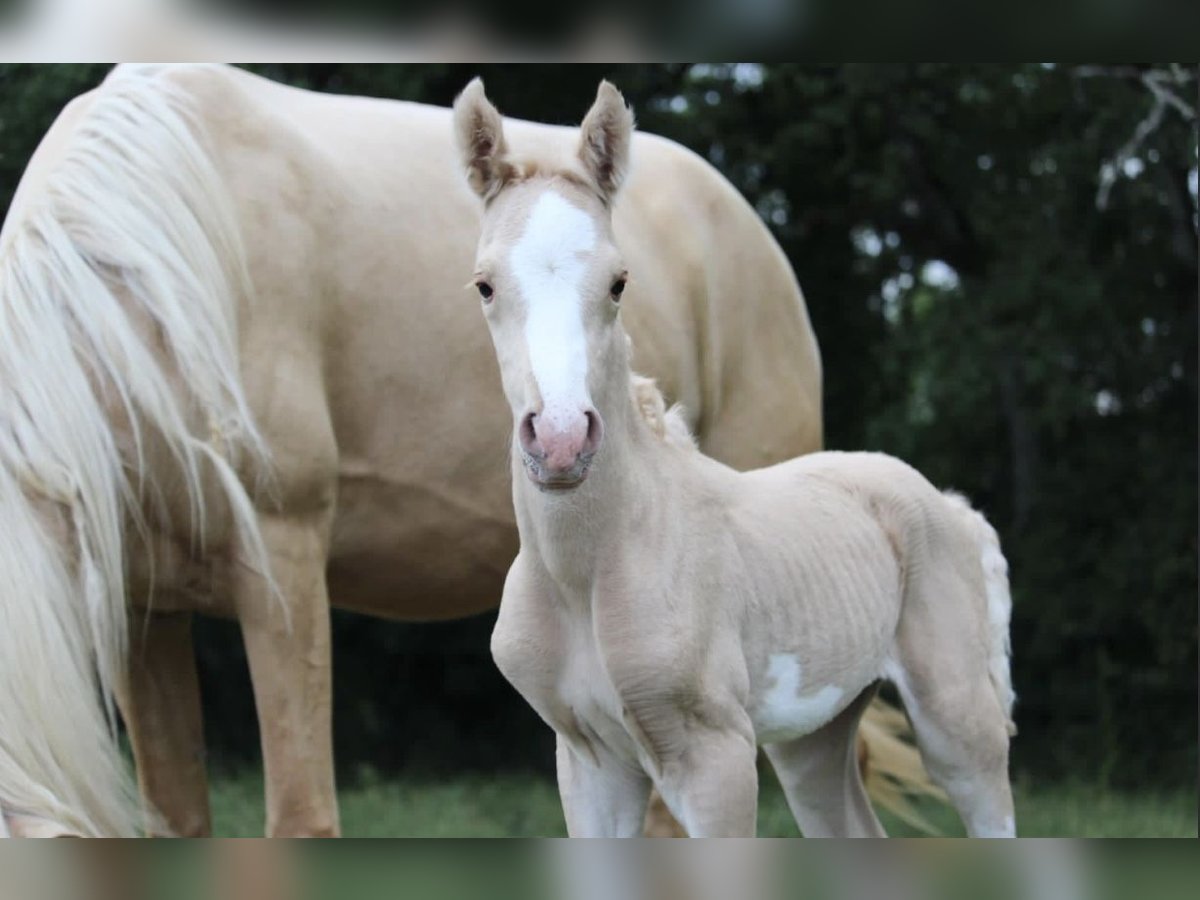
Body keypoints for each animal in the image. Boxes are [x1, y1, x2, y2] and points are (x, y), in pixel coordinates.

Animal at [0, 65, 916, 840]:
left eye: (620, 284)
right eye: (481, 285)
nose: (559, 439)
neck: (147, 286)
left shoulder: (283, 567)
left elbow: (301, 817)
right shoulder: (141, 611)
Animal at [453, 81, 1017, 844]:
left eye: (619, 282)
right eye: (484, 285)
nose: (562, 440)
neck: (589, 571)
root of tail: (949, 505)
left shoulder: (713, 754)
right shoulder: (588, 761)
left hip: (956, 721)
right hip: (815, 733)